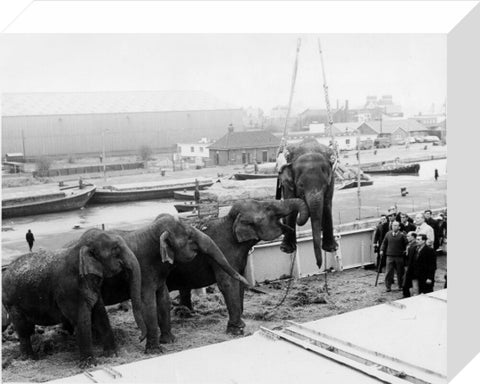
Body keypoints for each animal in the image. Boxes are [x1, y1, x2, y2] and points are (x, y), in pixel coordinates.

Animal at [1, 228, 145, 366]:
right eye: (115, 249)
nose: (140, 338)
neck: (79, 248)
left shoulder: (92, 287)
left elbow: (100, 314)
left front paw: (112, 355)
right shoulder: (69, 290)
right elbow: (81, 320)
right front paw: (89, 365)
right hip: (12, 303)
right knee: (23, 330)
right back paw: (30, 359)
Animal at [95, 213, 249, 354]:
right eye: (189, 236)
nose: (246, 280)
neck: (151, 231)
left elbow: (163, 298)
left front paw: (169, 341)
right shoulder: (142, 271)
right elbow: (148, 304)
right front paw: (155, 351)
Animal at [166, 200, 308, 334]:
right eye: (269, 208)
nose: (295, 225)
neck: (231, 220)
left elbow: (240, 280)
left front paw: (241, 320)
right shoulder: (224, 251)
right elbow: (228, 283)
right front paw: (237, 330)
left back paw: (185, 313)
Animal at [276, 136, 340, 268]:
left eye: (324, 185)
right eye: (300, 185)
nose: (319, 265)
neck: (309, 151)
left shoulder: (331, 180)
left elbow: (326, 205)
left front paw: (331, 248)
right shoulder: (288, 182)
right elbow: (292, 206)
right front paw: (286, 249)